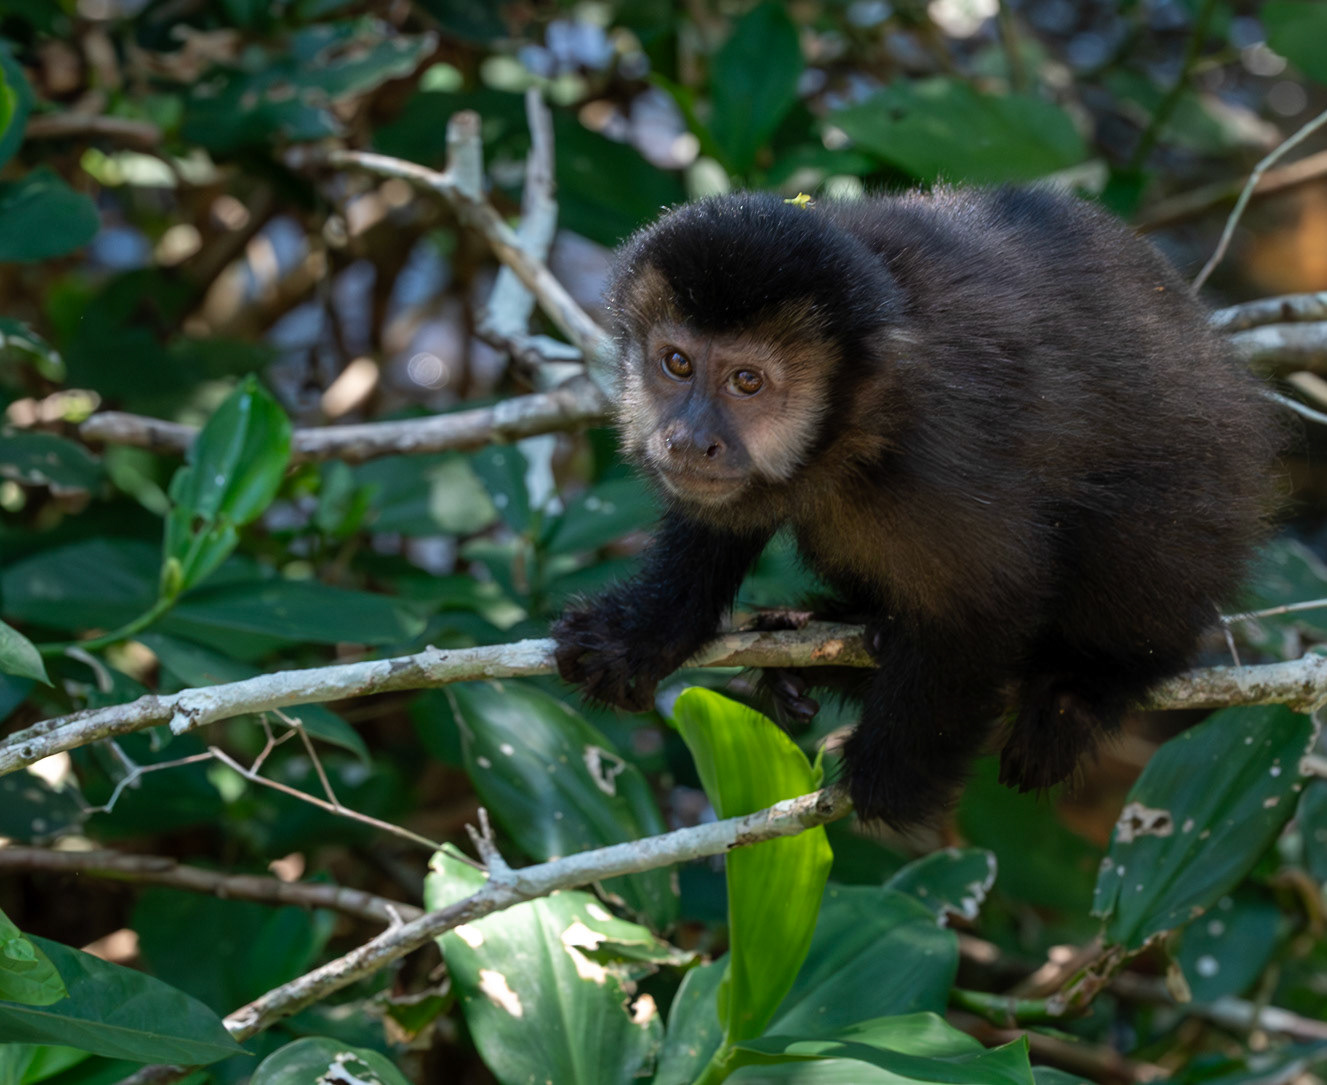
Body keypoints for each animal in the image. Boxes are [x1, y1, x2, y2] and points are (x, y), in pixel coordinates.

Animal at [551, 187, 1277, 829]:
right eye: (676, 363)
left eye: (746, 381)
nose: (688, 438)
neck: (863, 407)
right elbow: (717, 520)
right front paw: (642, 633)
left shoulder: (940, 454)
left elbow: (992, 596)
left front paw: (892, 773)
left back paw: (1084, 684)